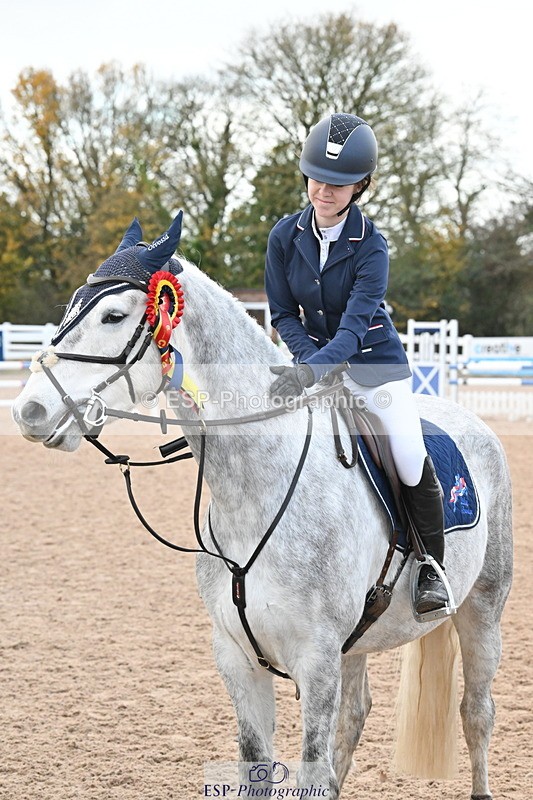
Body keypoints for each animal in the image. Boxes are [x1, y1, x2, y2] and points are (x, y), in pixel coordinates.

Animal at [12, 213, 513, 799]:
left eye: (114, 316)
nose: (29, 411)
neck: (257, 491)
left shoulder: (316, 662)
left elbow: (313, 764)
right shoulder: (238, 658)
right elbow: (257, 764)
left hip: (483, 609)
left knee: (476, 711)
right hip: (359, 643)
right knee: (357, 716)